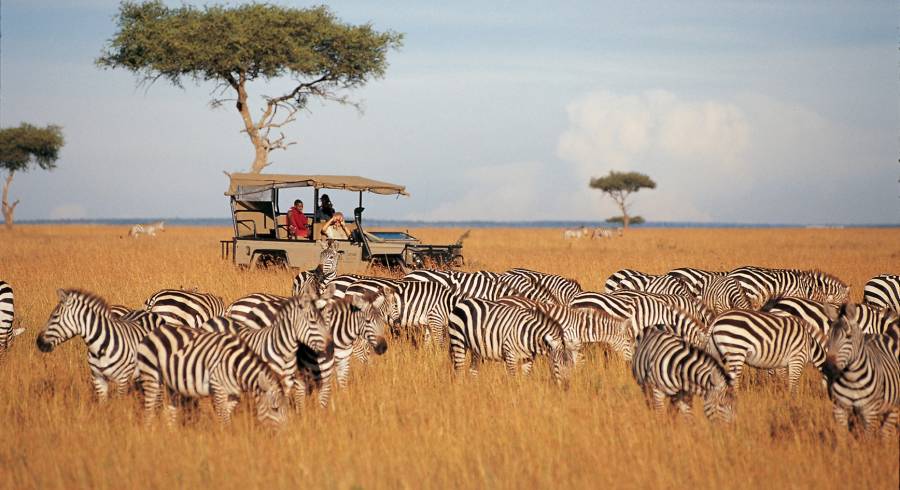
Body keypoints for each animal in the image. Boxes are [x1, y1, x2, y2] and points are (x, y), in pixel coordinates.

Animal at [136, 326, 288, 424]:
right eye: (274, 409)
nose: (284, 437)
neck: (236, 367)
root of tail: (154, 331)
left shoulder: (234, 394)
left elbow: (226, 414)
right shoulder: (218, 388)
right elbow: (223, 418)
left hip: (171, 384)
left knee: (170, 412)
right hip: (151, 376)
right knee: (148, 411)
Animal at [448, 296, 576, 388]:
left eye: (571, 365)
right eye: (556, 364)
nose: (566, 387)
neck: (528, 334)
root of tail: (464, 301)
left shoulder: (528, 358)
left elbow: (525, 378)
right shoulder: (510, 355)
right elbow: (513, 379)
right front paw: (514, 395)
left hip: (476, 348)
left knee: (473, 370)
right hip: (458, 340)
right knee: (459, 371)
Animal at [824, 304, 900, 438]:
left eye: (849, 336)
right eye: (828, 335)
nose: (828, 368)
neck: (851, 378)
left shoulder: (870, 412)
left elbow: (867, 439)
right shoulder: (839, 408)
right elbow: (843, 438)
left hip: (893, 407)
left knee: (885, 432)